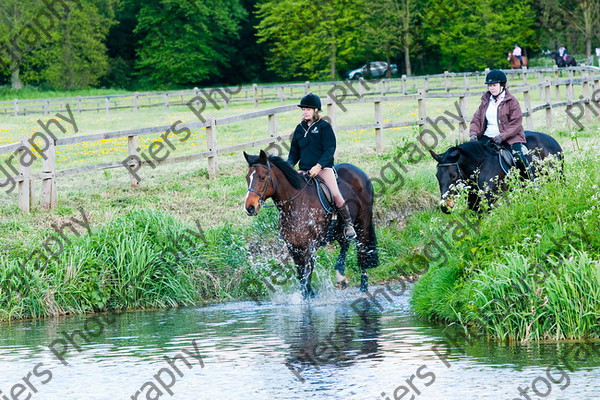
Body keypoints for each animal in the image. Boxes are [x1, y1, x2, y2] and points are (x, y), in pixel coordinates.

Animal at [243, 150, 376, 296]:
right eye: (247, 178)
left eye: (262, 177)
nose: (249, 208)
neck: (294, 205)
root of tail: (359, 172)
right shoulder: (293, 247)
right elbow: (302, 276)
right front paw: (310, 294)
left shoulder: (309, 247)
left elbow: (306, 276)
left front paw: (308, 296)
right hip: (340, 231)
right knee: (345, 245)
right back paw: (341, 276)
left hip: (362, 223)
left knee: (362, 251)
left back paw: (362, 285)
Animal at [432, 131, 564, 212]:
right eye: (437, 176)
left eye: (453, 176)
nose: (445, 207)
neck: (480, 166)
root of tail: (552, 140)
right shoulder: (475, 204)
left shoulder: (492, 200)